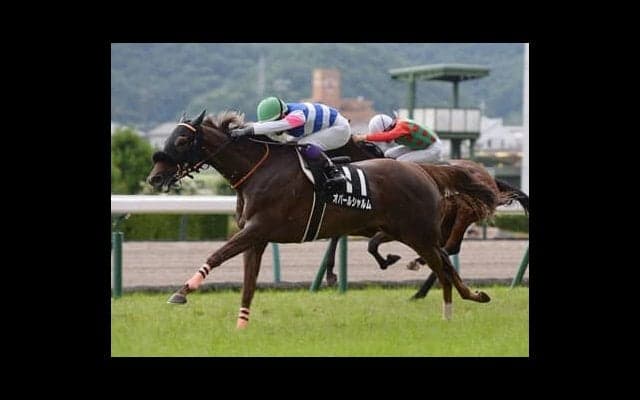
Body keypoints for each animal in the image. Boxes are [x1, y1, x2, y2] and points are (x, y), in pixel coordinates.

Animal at [147, 110, 498, 328]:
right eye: (168, 139)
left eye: (181, 141)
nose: (154, 178)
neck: (259, 170)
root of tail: (424, 171)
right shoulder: (256, 237)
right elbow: (248, 283)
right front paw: (242, 324)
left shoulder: (258, 228)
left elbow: (217, 255)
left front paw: (181, 292)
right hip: (412, 232)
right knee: (445, 262)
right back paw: (473, 296)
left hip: (418, 233)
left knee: (442, 265)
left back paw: (449, 310)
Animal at [325, 139, 529, 299]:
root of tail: (490, 178)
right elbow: (339, 238)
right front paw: (330, 274)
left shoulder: (394, 228)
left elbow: (370, 243)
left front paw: (387, 260)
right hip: (445, 224)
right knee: (445, 250)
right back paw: (421, 290)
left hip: (463, 214)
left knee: (448, 248)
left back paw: (419, 276)